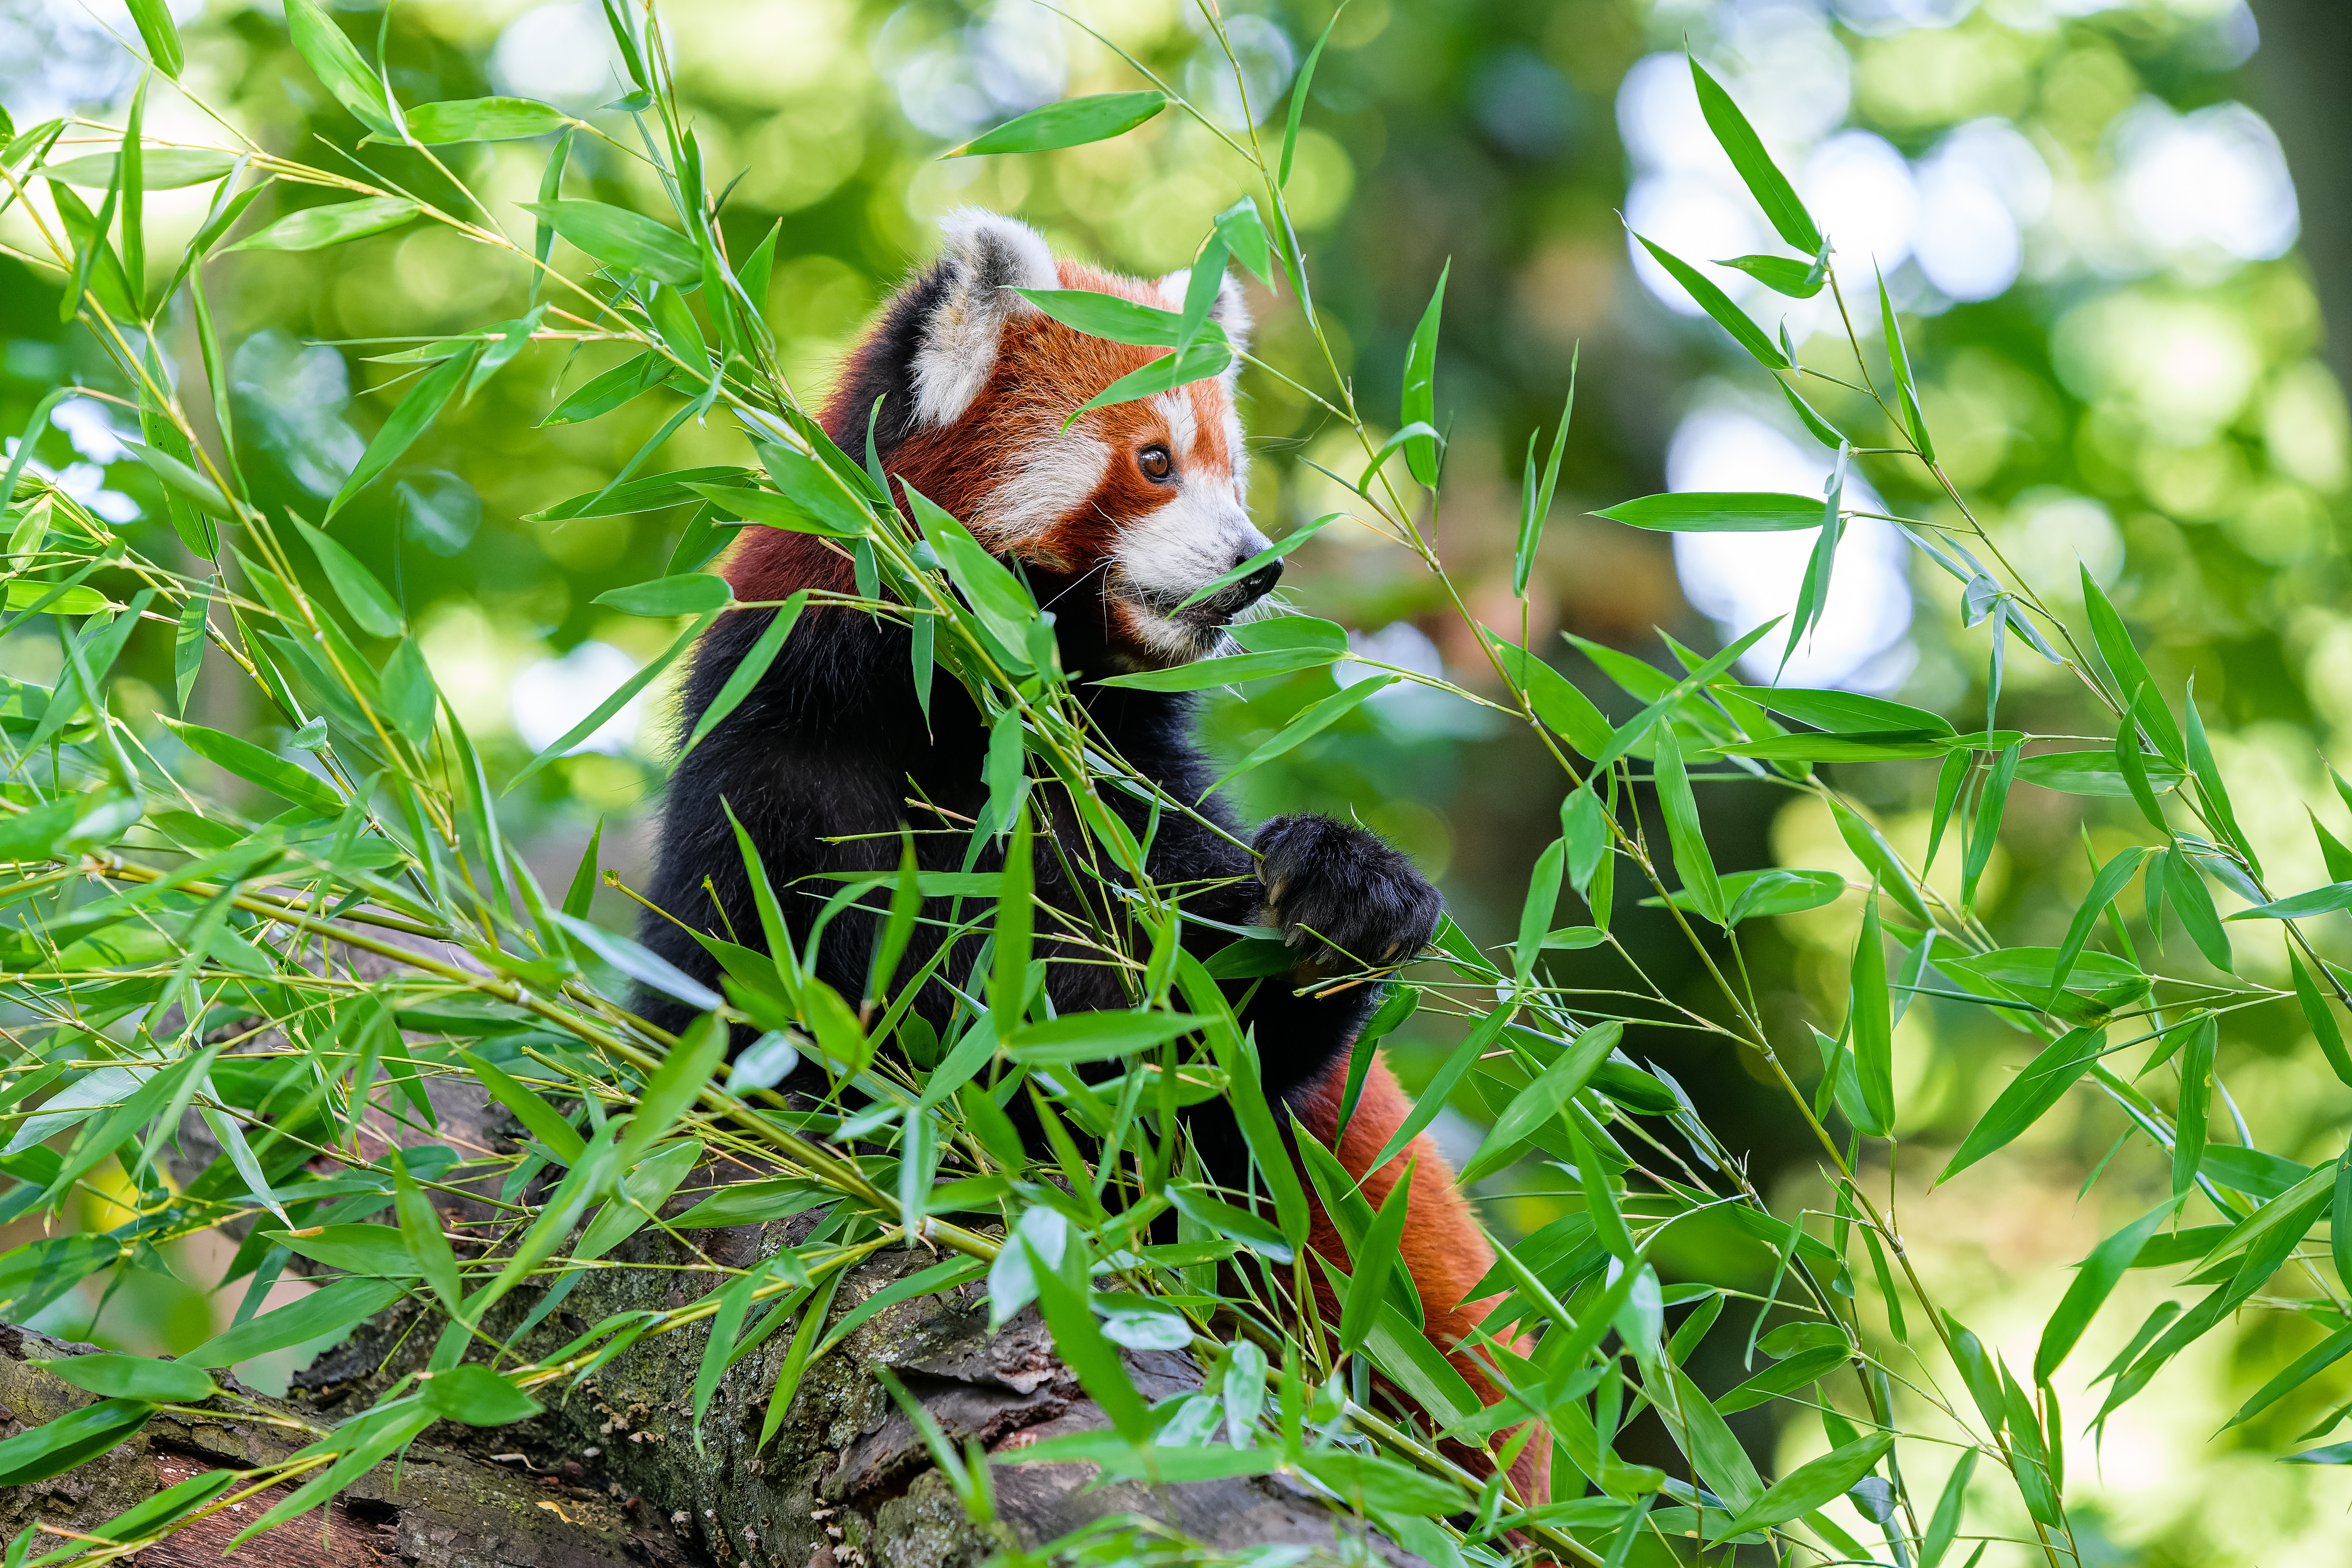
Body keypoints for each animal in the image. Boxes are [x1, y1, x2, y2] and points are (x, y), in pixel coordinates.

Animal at [635, 208, 1543, 1504]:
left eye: (1230, 470)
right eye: (1155, 461)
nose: (1258, 565)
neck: (969, 715)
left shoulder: (1122, 796)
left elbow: (1198, 1068)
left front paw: (1347, 895)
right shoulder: (773, 763)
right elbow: (742, 1009)